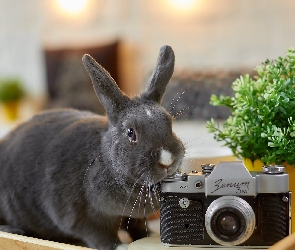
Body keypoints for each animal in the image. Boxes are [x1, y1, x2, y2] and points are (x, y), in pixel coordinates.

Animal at [0, 46, 185, 249]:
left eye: (170, 123)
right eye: (131, 132)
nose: (167, 160)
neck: (107, 163)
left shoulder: (131, 217)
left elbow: (136, 227)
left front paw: (148, 235)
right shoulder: (80, 217)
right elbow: (100, 236)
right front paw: (121, 246)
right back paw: (15, 231)